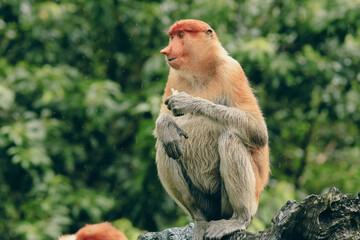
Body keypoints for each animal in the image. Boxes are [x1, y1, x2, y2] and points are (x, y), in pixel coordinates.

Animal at [155, 19, 270, 239]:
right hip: (206, 202)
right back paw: (200, 220)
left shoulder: (232, 71)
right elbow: (163, 120)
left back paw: (239, 219)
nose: (165, 50)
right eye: (171, 36)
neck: (199, 72)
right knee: (166, 146)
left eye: (181, 35)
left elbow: (257, 131)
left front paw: (187, 101)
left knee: (230, 137)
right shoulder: (173, 76)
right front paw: (165, 125)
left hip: (240, 201)